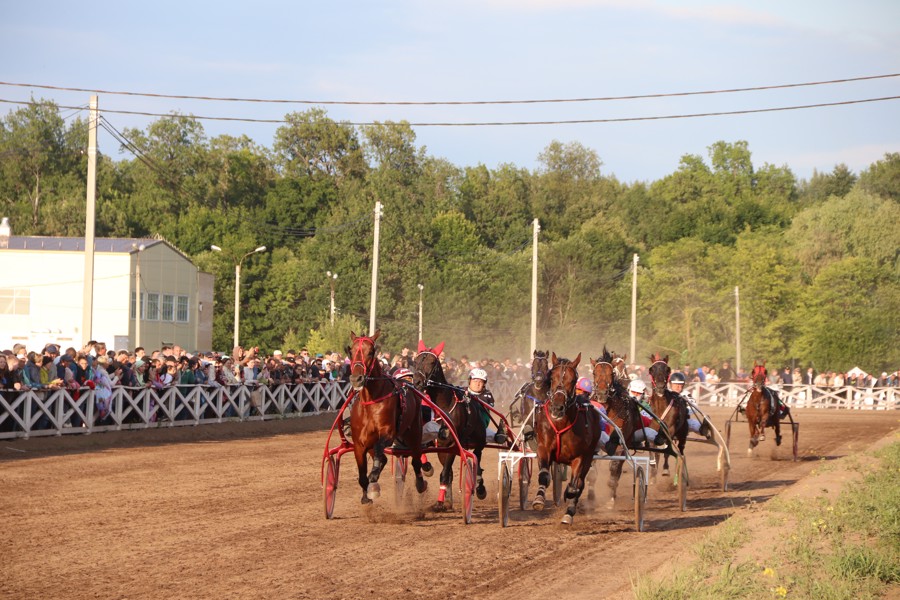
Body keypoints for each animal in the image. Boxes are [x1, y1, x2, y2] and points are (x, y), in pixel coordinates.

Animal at [346, 330, 428, 504]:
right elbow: (362, 475)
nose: (356, 379)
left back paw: (420, 483)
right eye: (351, 351)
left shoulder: (388, 433)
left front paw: (373, 477)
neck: (371, 402)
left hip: (415, 432)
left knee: (416, 460)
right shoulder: (359, 443)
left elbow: (380, 453)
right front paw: (367, 495)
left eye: (371, 352)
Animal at [414, 340, 488, 508]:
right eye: (416, 361)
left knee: (478, 460)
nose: (417, 382)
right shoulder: (435, 442)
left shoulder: (451, 444)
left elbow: (444, 474)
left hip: (479, 440)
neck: (443, 406)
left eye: (432, 362)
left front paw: (439, 503)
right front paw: (427, 469)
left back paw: (479, 487)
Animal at [532, 352, 600, 524]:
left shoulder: (581, 457)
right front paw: (539, 500)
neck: (561, 423)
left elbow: (574, 486)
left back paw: (569, 512)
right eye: (552, 377)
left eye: (573, 380)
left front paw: (568, 498)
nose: (557, 408)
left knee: (580, 483)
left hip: (590, 456)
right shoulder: (543, 448)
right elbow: (543, 475)